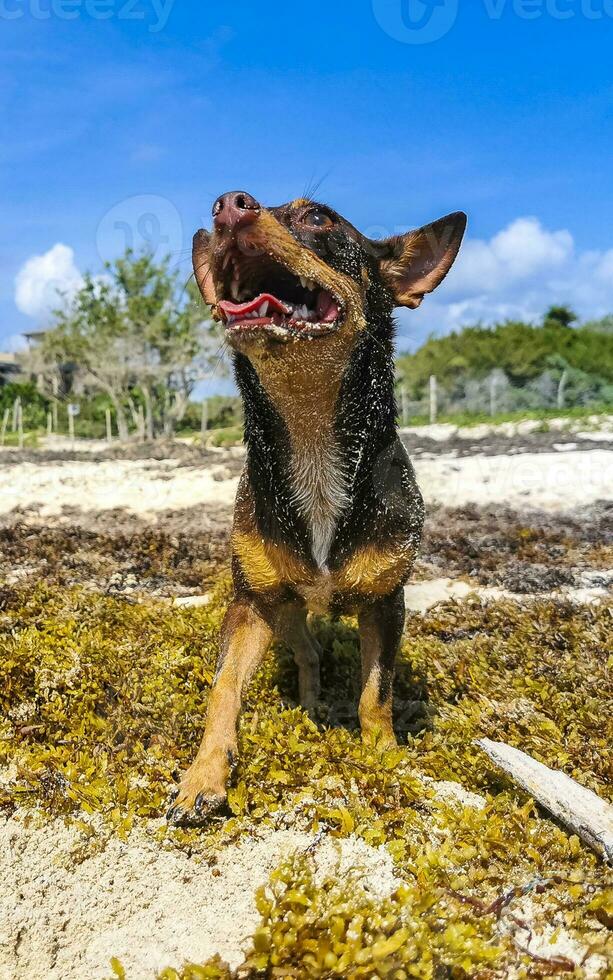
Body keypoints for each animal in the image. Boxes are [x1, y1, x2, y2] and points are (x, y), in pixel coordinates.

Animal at [167, 188, 464, 824]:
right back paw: (307, 706)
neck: (310, 439)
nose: (228, 204)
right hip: (282, 614)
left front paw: (384, 756)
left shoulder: (386, 605)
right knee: (306, 653)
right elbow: (223, 688)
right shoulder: (250, 605)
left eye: (319, 217)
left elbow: (377, 693)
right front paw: (203, 777)